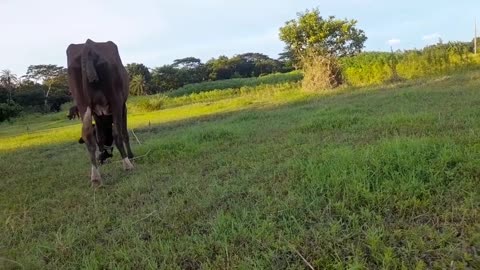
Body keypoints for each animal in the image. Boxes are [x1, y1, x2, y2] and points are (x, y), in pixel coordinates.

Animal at [65, 38, 133, 186]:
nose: (103, 157)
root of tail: (88, 45)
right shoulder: (123, 107)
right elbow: (124, 133)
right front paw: (131, 156)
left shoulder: (97, 114)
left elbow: (99, 137)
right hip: (115, 99)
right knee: (118, 134)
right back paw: (127, 164)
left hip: (82, 103)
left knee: (88, 138)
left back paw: (95, 177)